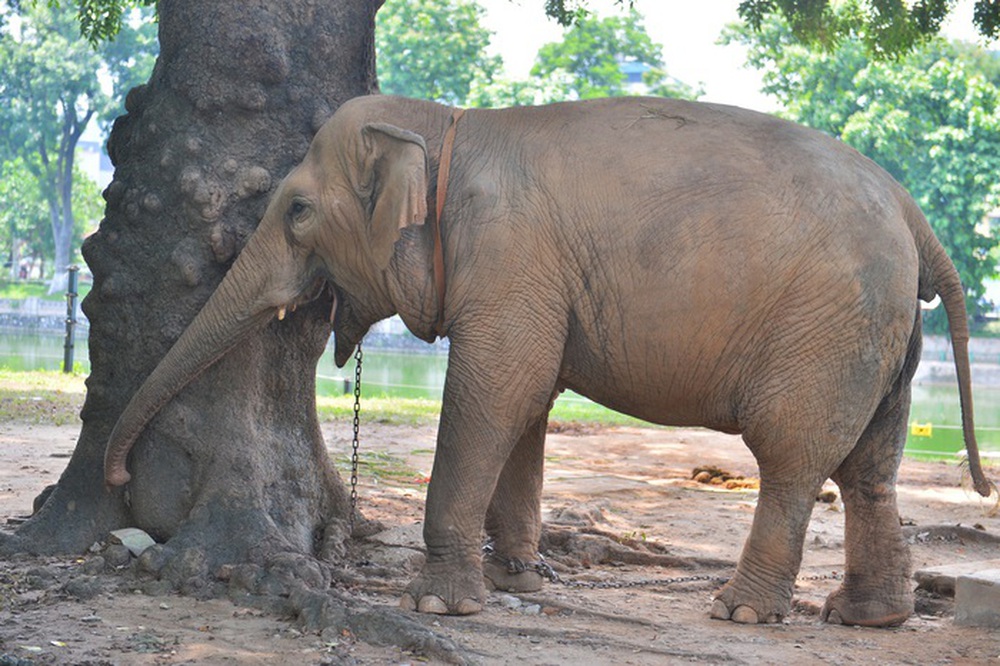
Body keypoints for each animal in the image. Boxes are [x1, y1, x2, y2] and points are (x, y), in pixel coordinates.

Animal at [103, 94, 992, 628]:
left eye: (295, 211)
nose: (116, 479)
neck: (449, 126)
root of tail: (914, 214)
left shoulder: (508, 260)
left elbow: (494, 392)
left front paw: (442, 607)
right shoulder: (529, 283)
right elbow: (526, 405)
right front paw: (520, 584)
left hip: (828, 327)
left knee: (792, 457)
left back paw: (739, 612)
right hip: (879, 333)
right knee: (870, 466)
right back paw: (868, 617)